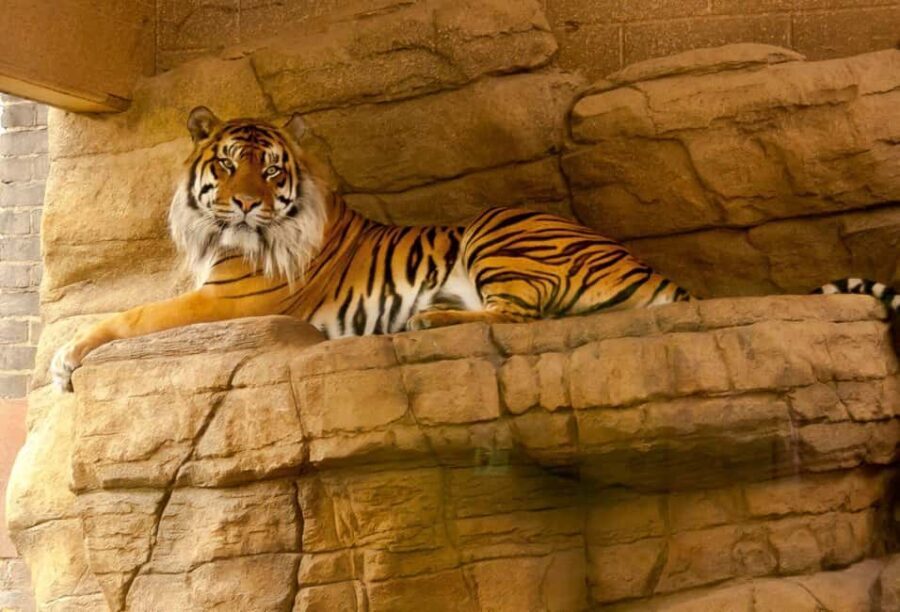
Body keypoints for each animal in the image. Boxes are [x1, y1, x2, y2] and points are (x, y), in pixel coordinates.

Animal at [50, 107, 900, 392]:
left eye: (271, 168)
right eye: (227, 164)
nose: (249, 203)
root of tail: (646, 264)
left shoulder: (229, 297)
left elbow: (127, 318)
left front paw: (63, 360)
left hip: (499, 228)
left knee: (521, 318)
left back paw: (428, 322)